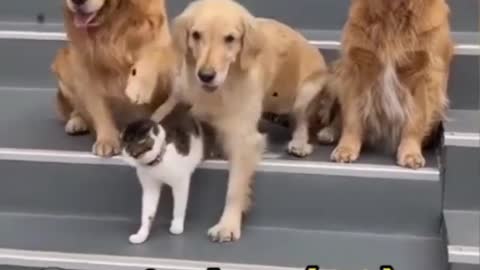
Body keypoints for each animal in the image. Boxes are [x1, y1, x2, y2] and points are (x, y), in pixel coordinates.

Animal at [57, 0, 174, 156]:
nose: (77, 2)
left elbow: (154, 53)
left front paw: (139, 88)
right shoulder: (84, 66)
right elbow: (98, 106)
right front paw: (107, 140)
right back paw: (76, 121)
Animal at [121, 102, 205, 244]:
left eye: (138, 140)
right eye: (125, 143)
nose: (129, 151)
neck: (156, 164)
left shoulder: (181, 182)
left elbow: (179, 205)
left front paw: (177, 225)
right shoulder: (149, 187)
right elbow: (147, 212)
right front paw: (141, 235)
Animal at [130, 0, 330, 243]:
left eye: (230, 39)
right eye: (196, 35)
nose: (206, 75)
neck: (215, 93)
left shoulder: (245, 140)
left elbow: (235, 188)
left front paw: (228, 224)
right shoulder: (180, 94)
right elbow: (160, 114)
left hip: (304, 93)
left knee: (301, 119)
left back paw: (299, 142)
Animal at [328, 0, 456, 169]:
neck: (392, 12)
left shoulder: (424, 75)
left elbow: (416, 118)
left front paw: (410, 153)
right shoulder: (355, 68)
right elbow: (352, 116)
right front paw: (345, 148)